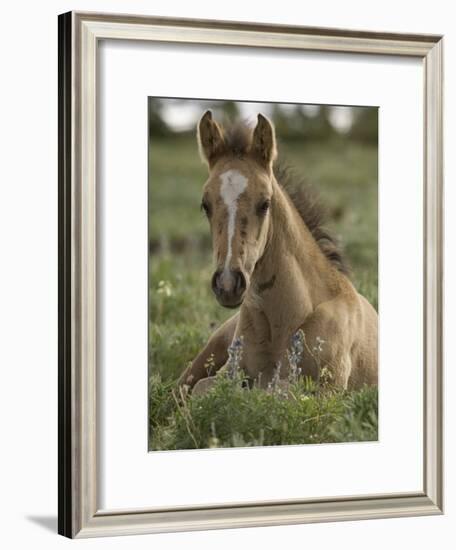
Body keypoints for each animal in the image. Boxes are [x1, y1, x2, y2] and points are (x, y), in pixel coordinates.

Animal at [178, 112, 378, 394]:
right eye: (205, 205)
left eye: (265, 203)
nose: (228, 284)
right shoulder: (228, 373)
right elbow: (202, 390)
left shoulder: (328, 390)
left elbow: (277, 392)